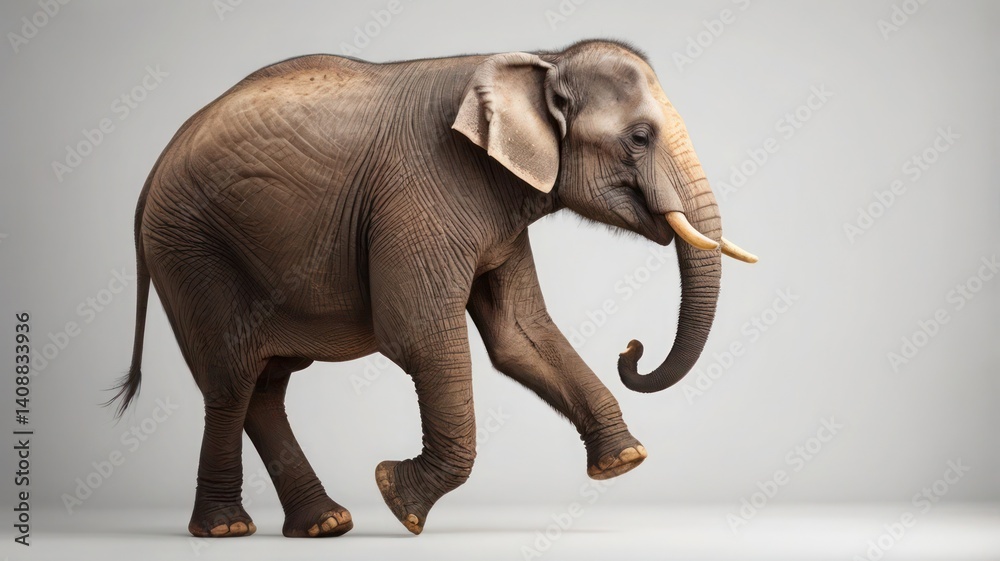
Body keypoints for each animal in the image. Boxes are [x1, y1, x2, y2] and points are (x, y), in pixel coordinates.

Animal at [106, 38, 756, 538]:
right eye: (640, 137)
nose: (630, 349)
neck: (542, 60)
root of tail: (149, 176)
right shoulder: (425, 187)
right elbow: (418, 335)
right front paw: (397, 499)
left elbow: (519, 334)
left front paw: (623, 460)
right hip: (193, 252)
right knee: (232, 379)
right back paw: (228, 528)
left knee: (265, 388)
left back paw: (324, 525)